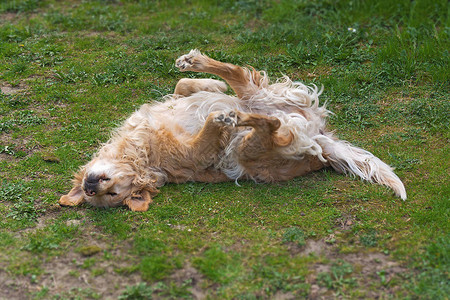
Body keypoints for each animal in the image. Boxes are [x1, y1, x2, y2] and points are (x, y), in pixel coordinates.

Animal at [58, 49, 406, 211]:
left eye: (112, 192)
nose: (91, 187)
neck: (141, 158)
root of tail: (318, 138)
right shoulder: (193, 154)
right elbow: (204, 139)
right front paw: (217, 119)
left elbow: (183, 87)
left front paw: (208, 87)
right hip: (253, 145)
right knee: (271, 125)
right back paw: (237, 116)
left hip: (261, 95)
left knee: (236, 77)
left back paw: (197, 65)